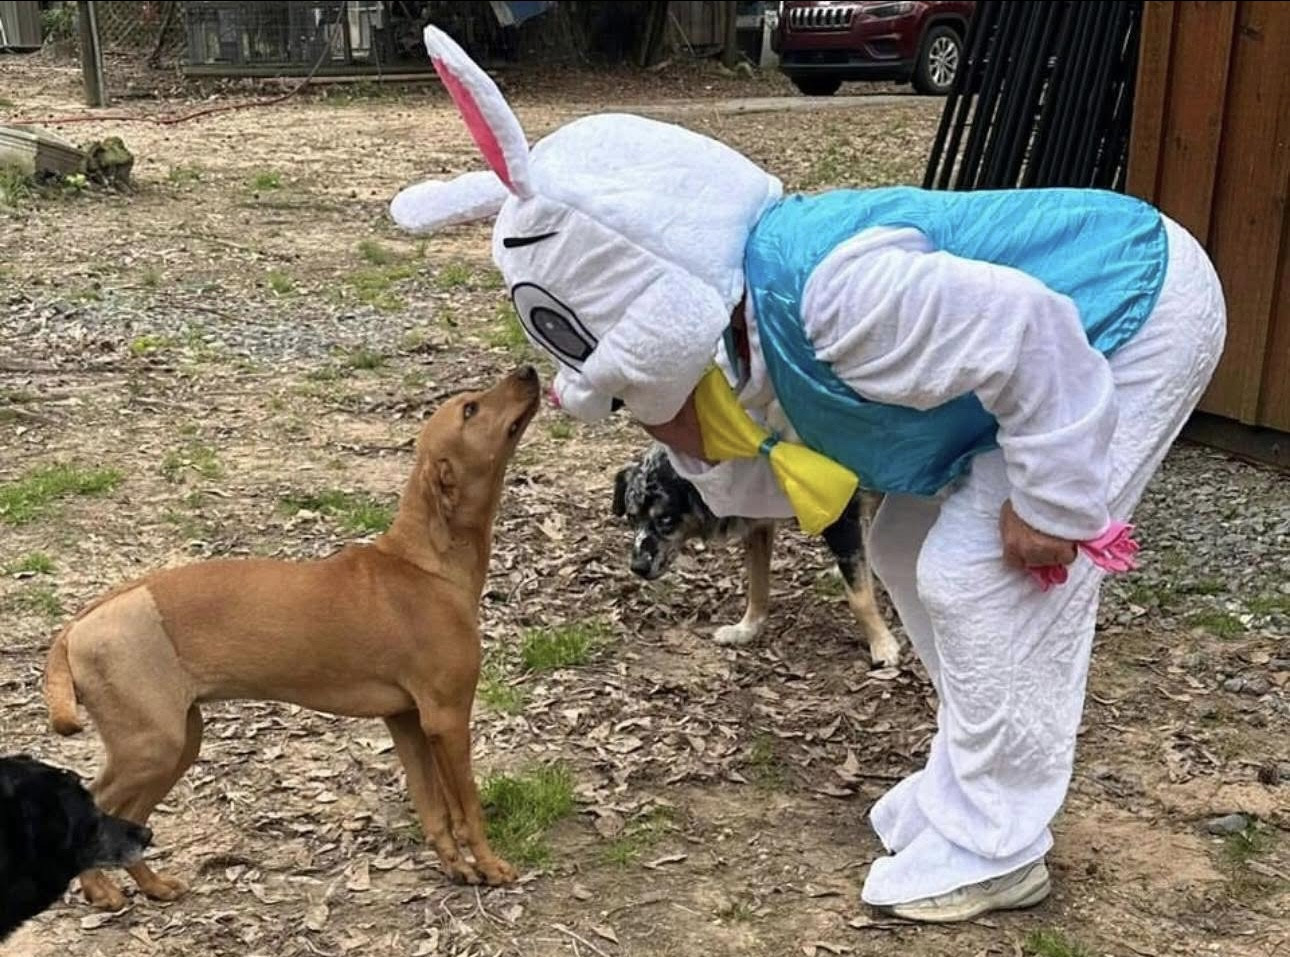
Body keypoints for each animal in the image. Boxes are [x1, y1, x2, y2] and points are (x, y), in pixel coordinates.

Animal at [42, 367, 540, 911]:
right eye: (471, 409)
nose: (528, 371)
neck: (423, 561)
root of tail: (78, 625)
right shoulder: (447, 718)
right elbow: (468, 808)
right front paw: (490, 866)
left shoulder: (408, 720)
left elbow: (434, 810)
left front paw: (456, 867)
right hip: (151, 745)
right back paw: (99, 890)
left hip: (176, 744)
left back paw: (151, 885)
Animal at [613, 446, 900, 668]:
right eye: (631, 518)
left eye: (666, 519)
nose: (637, 567)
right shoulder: (758, 526)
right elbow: (757, 586)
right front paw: (747, 628)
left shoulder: (841, 518)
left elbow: (860, 599)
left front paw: (883, 644)